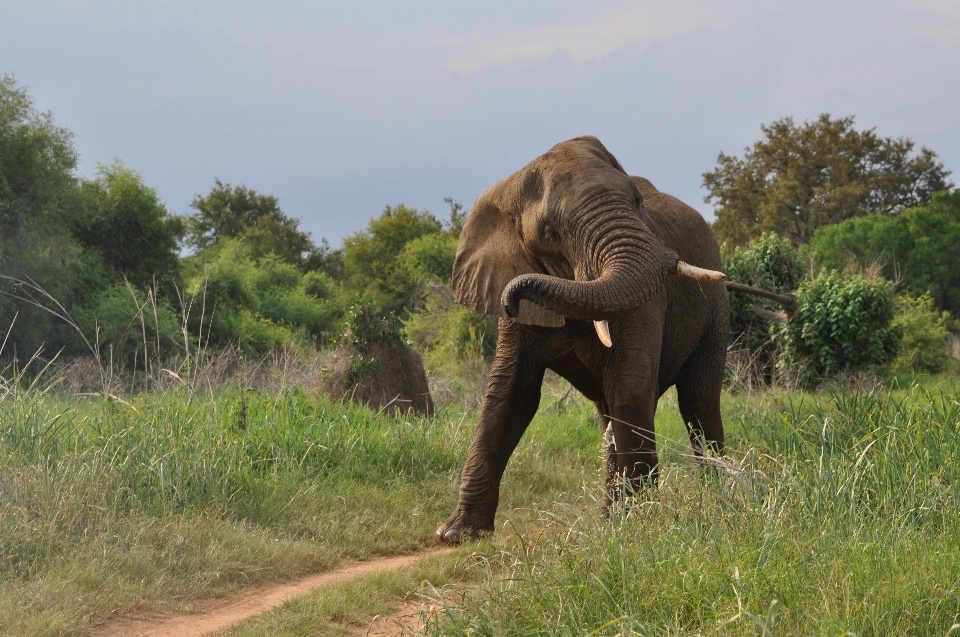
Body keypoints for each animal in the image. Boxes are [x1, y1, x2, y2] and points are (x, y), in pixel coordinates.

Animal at [436, 134, 796, 540]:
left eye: (637, 201)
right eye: (550, 232)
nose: (512, 298)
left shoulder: (649, 301)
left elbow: (631, 388)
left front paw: (642, 527)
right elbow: (511, 395)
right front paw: (456, 535)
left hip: (716, 315)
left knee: (697, 401)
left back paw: (712, 496)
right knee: (612, 414)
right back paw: (612, 519)